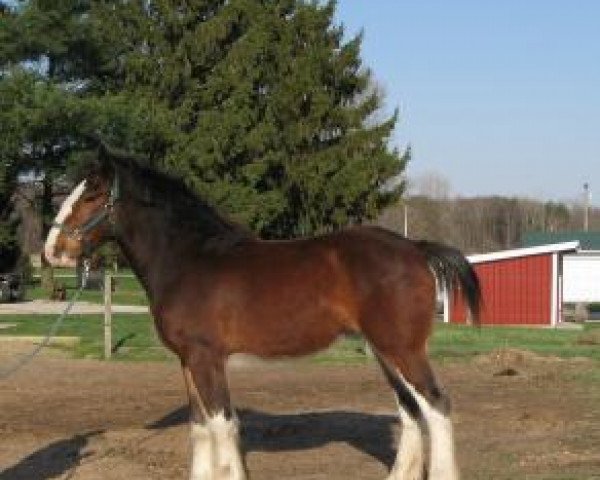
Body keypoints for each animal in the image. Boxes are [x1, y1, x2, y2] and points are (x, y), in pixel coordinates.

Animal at [44, 143, 480, 480]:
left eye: (91, 196)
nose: (52, 251)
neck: (189, 259)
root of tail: (416, 248)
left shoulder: (206, 357)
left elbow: (221, 425)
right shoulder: (187, 360)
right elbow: (199, 427)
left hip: (402, 350)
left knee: (436, 407)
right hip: (384, 351)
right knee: (411, 410)